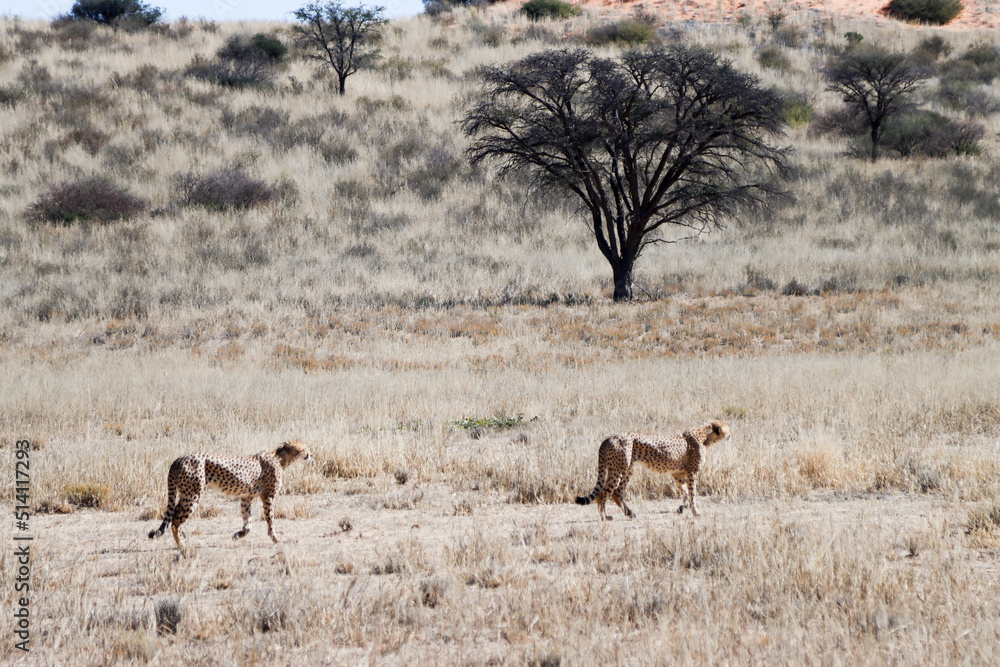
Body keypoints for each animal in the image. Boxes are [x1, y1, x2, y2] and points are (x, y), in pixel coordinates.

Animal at [148, 440, 311, 549]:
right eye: (305, 448)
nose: (310, 454)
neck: (281, 457)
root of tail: (179, 458)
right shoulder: (268, 496)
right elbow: (270, 520)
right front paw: (276, 539)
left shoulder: (246, 497)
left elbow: (248, 522)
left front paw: (238, 535)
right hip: (192, 495)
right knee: (176, 519)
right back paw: (182, 545)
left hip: (187, 494)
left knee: (176, 515)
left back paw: (184, 540)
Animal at [575, 421, 730, 520]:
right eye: (727, 428)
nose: (731, 434)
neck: (705, 435)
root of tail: (608, 438)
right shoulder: (692, 472)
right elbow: (692, 494)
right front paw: (695, 512)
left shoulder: (678, 473)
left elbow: (685, 492)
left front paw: (682, 508)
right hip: (618, 469)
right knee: (603, 493)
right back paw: (604, 516)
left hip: (627, 469)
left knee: (617, 493)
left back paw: (630, 514)